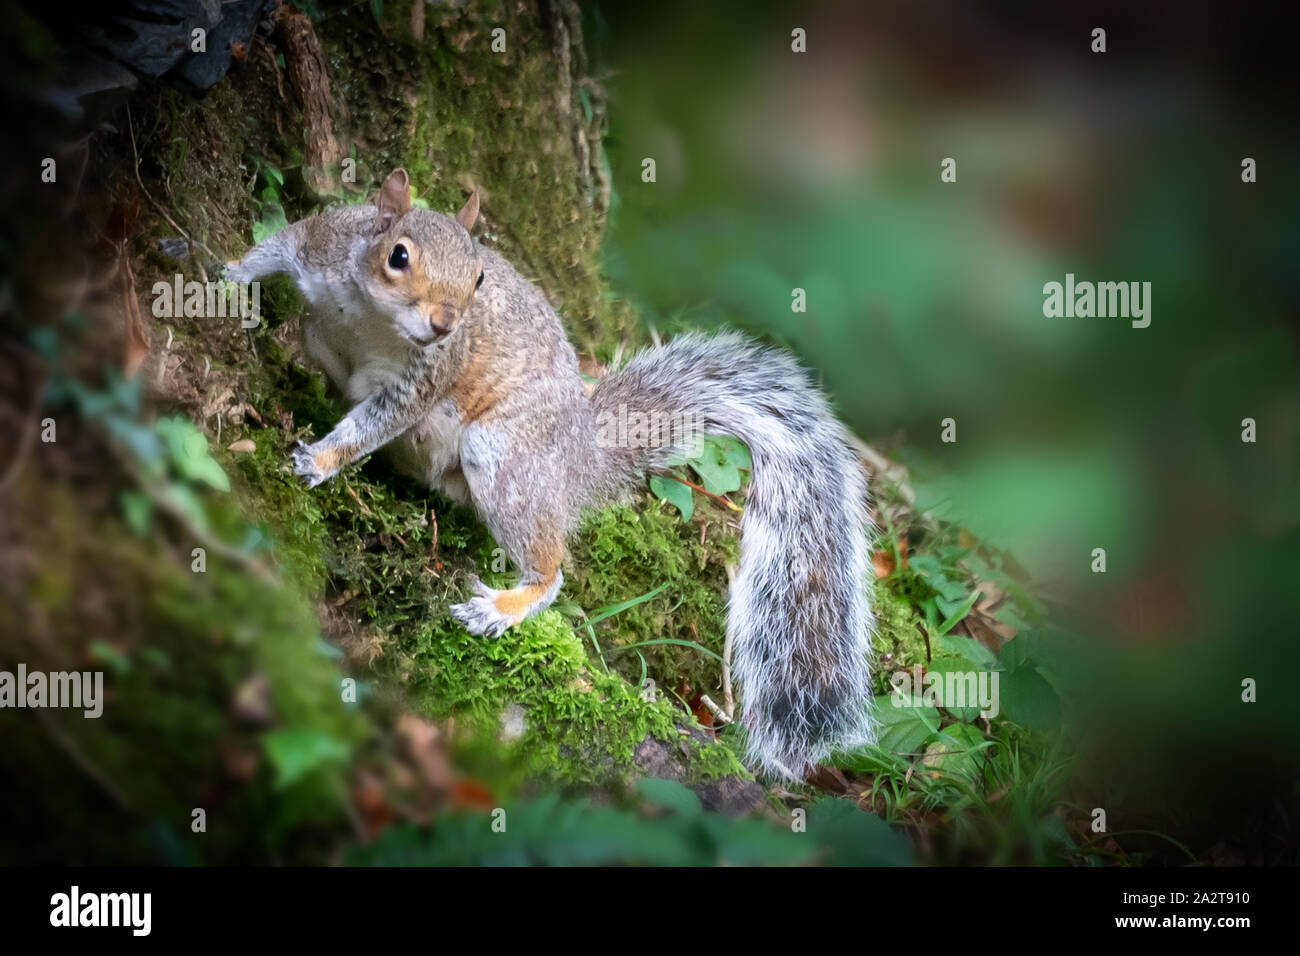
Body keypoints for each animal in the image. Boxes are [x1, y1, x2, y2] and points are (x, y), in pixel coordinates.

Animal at [226, 167, 873, 780]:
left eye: (479, 278)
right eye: (398, 256)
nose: (445, 322)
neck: (370, 320)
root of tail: (575, 459)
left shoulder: (424, 378)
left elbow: (374, 423)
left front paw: (321, 459)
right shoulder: (322, 244)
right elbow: (274, 246)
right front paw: (225, 277)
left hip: (501, 458)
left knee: (552, 570)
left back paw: (503, 607)